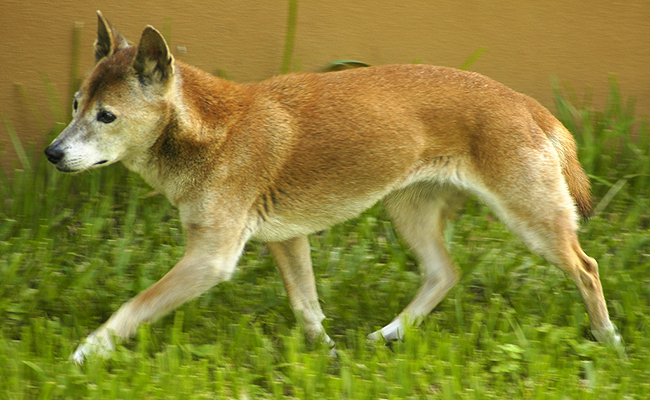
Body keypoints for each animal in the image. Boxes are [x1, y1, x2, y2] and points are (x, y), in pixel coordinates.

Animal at [43, 13, 620, 362]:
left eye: (106, 115)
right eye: (74, 105)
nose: (52, 153)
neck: (213, 131)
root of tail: (525, 102)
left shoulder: (210, 259)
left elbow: (130, 309)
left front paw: (82, 354)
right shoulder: (285, 239)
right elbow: (307, 305)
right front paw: (328, 357)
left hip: (532, 221)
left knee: (586, 268)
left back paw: (608, 339)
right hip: (407, 213)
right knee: (445, 273)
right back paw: (389, 334)